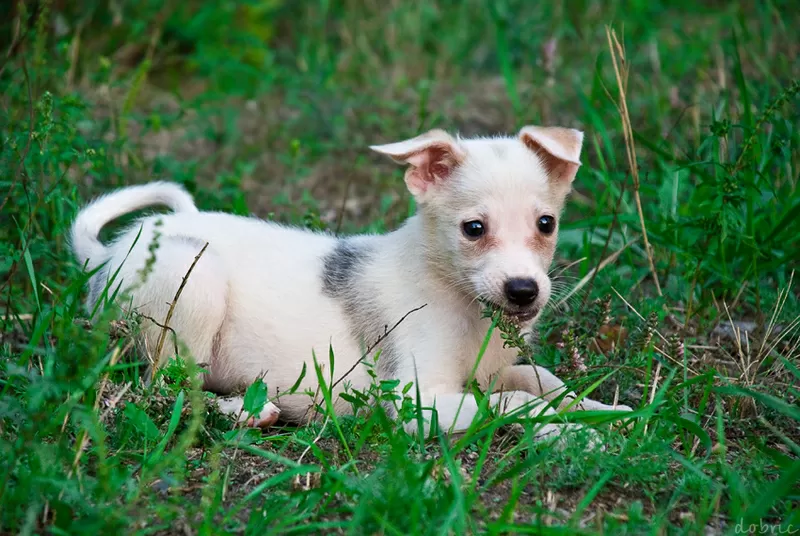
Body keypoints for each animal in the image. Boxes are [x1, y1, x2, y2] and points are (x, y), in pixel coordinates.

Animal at [70, 125, 632, 440]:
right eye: (474, 229)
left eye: (546, 224)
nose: (523, 291)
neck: (460, 301)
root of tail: (107, 253)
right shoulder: (415, 403)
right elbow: (516, 405)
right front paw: (571, 434)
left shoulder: (496, 370)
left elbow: (544, 381)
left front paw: (607, 411)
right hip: (192, 282)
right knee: (164, 390)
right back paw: (242, 412)